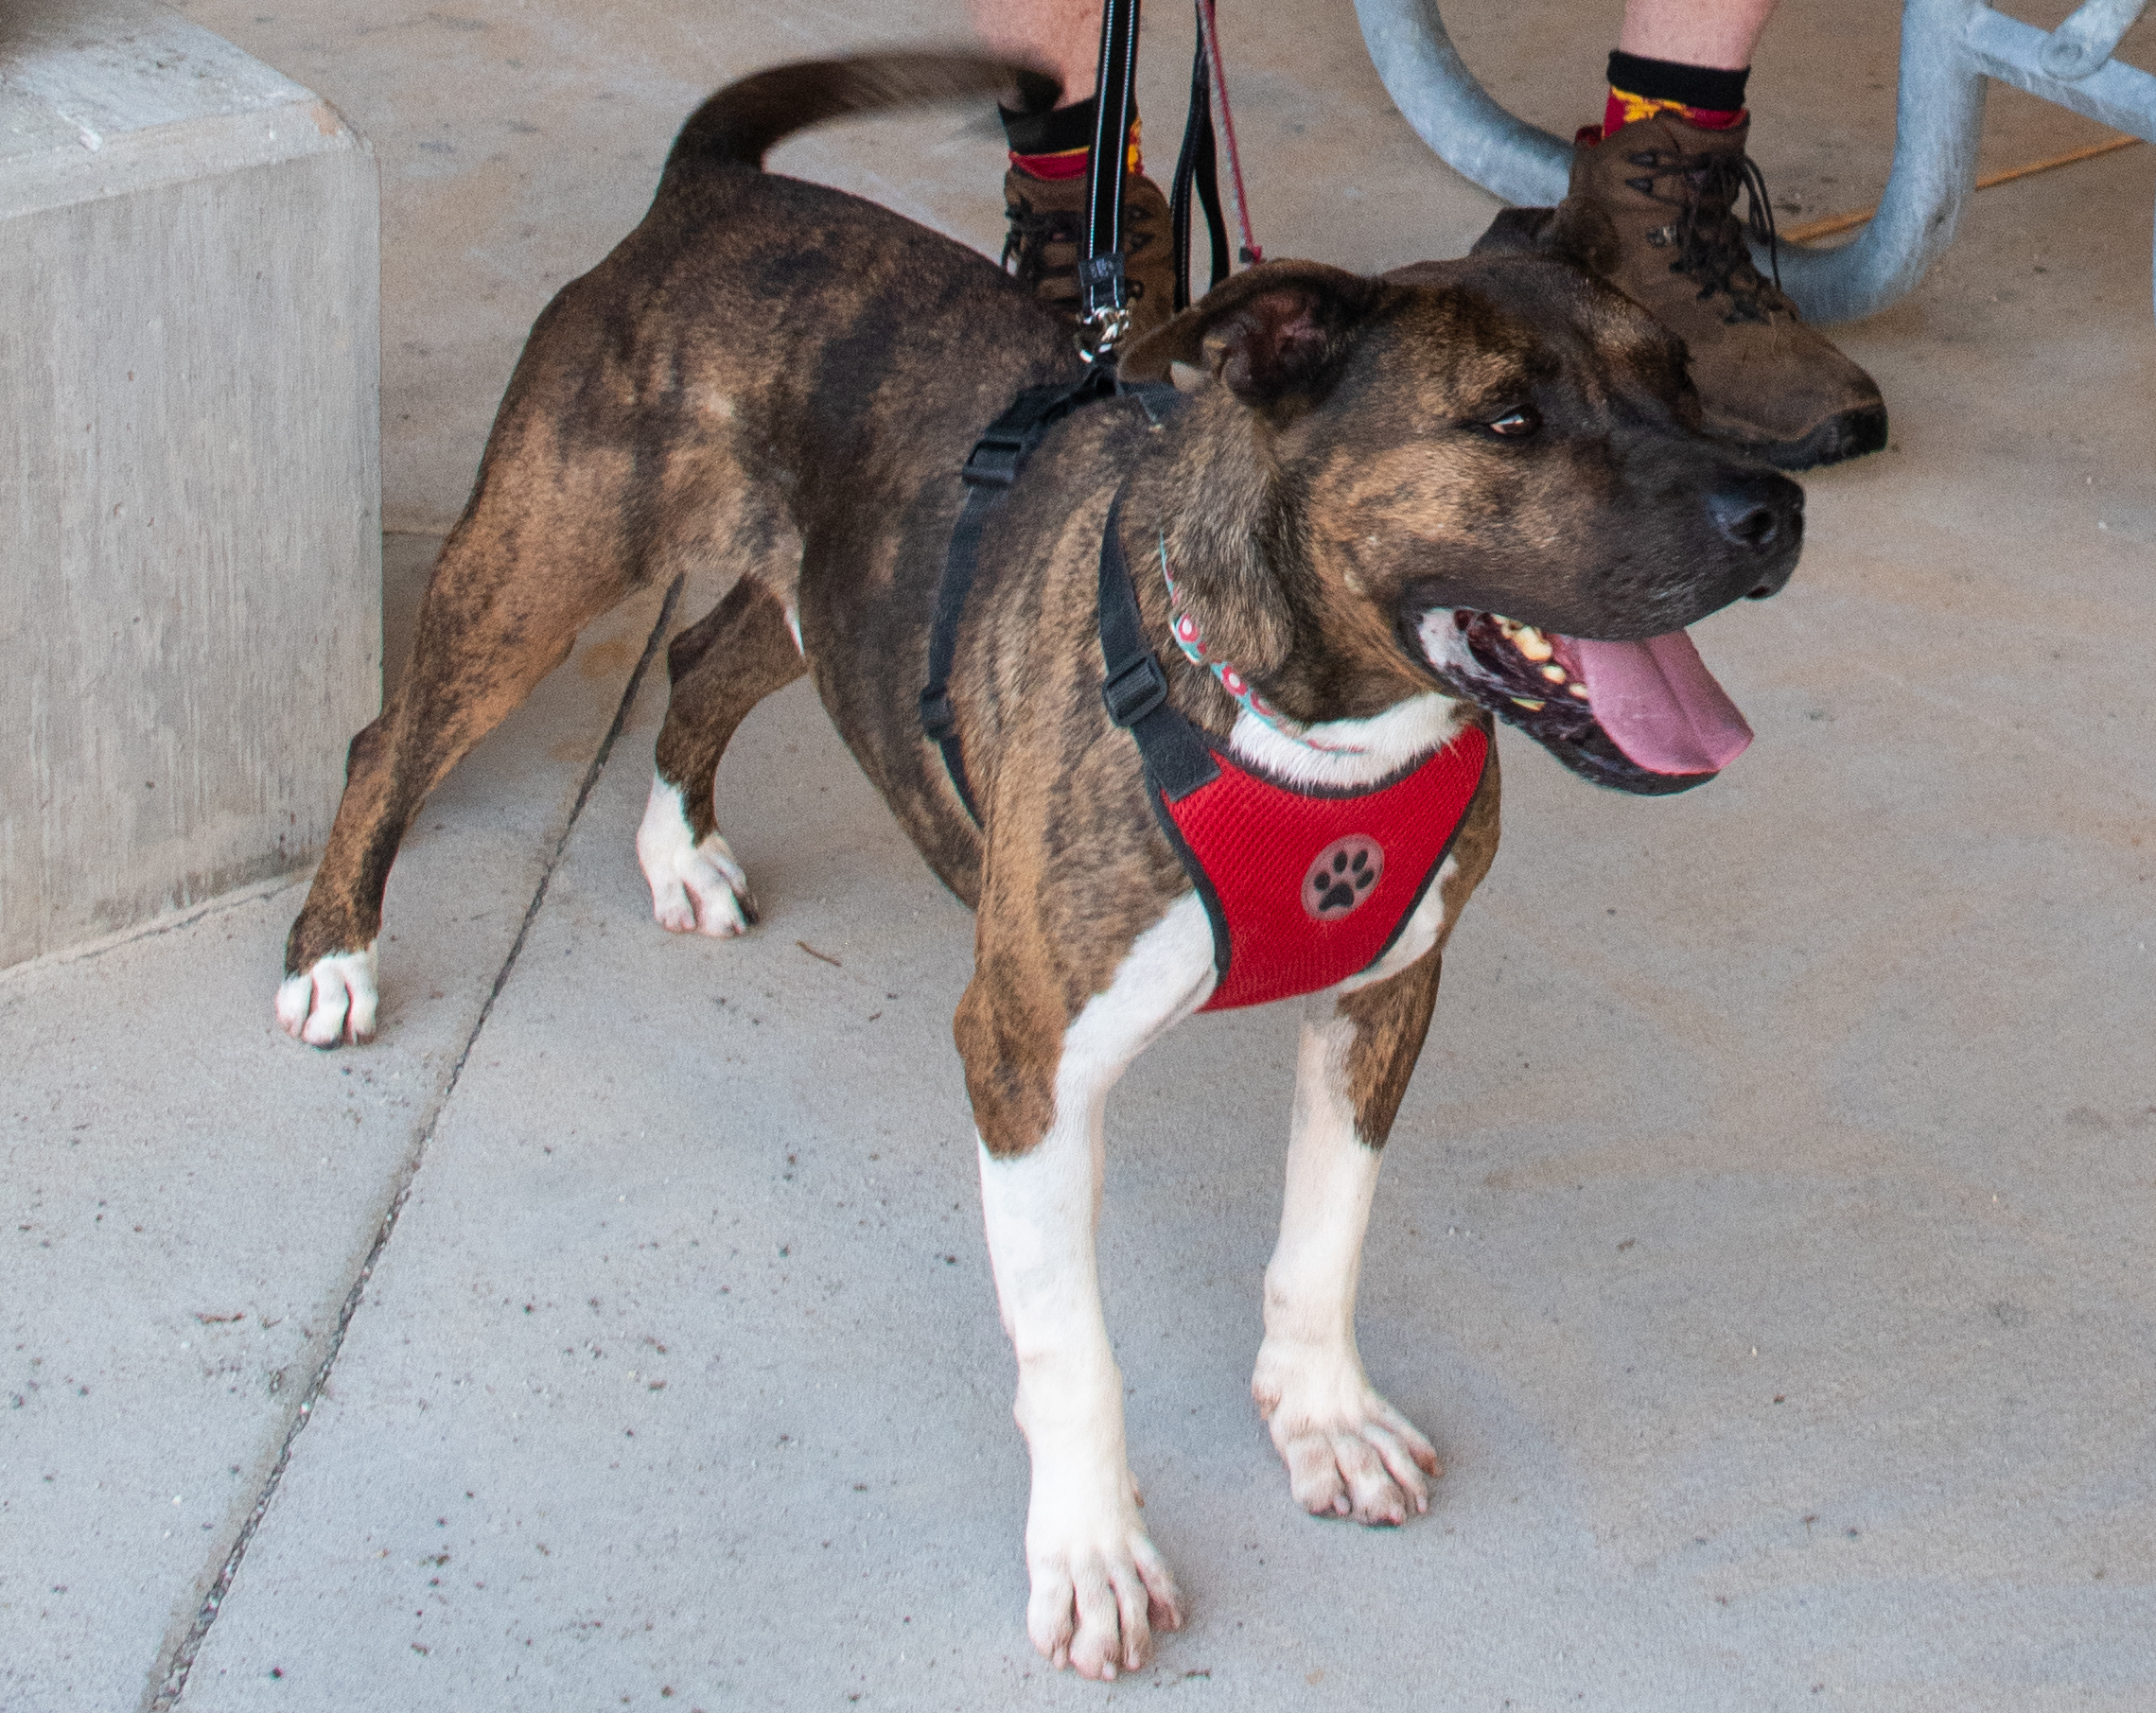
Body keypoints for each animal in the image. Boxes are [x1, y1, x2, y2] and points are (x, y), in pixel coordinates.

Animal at [282, 57, 1802, 1688]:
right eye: (1507, 419)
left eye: (1678, 379)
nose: (1770, 511)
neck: (1305, 714)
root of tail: (714, 191)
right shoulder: (1026, 1063)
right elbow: (1072, 1350)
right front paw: (1091, 1555)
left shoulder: (1382, 1001)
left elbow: (1322, 1237)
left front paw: (1320, 1414)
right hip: (542, 568)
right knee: (388, 737)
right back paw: (334, 954)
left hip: (819, 597)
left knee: (699, 655)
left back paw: (677, 849)